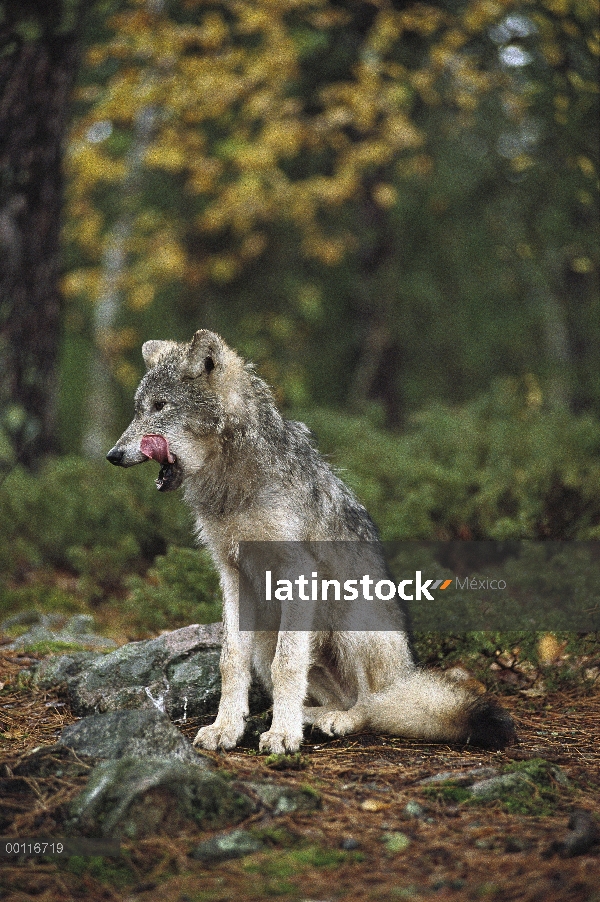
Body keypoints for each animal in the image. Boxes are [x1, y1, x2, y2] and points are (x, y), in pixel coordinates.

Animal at [106, 332, 516, 756]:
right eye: (138, 410)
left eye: (159, 407)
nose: (113, 455)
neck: (233, 485)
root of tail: (405, 676)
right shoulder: (232, 576)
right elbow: (230, 662)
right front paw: (227, 728)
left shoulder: (297, 571)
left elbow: (287, 665)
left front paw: (283, 736)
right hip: (266, 638)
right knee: (332, 695)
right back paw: (303, 717)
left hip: (349, 619)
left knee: (370, 706)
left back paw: (331, 721)